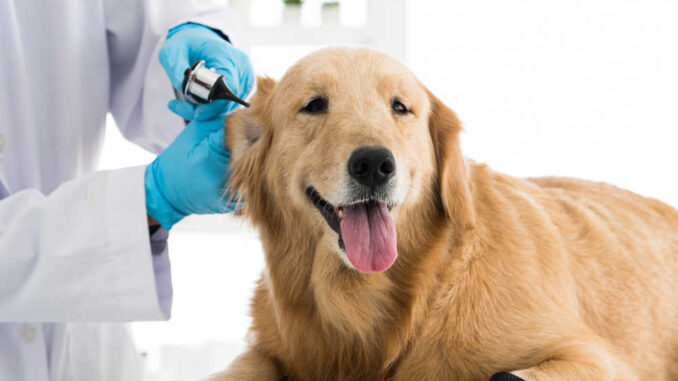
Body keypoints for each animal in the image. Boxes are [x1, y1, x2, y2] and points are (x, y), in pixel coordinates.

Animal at [211, 48, 678, 380]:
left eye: (400, 107)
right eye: (314, 105)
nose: (374, 164)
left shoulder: (593, 357)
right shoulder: (269, 347)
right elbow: (240, 368)